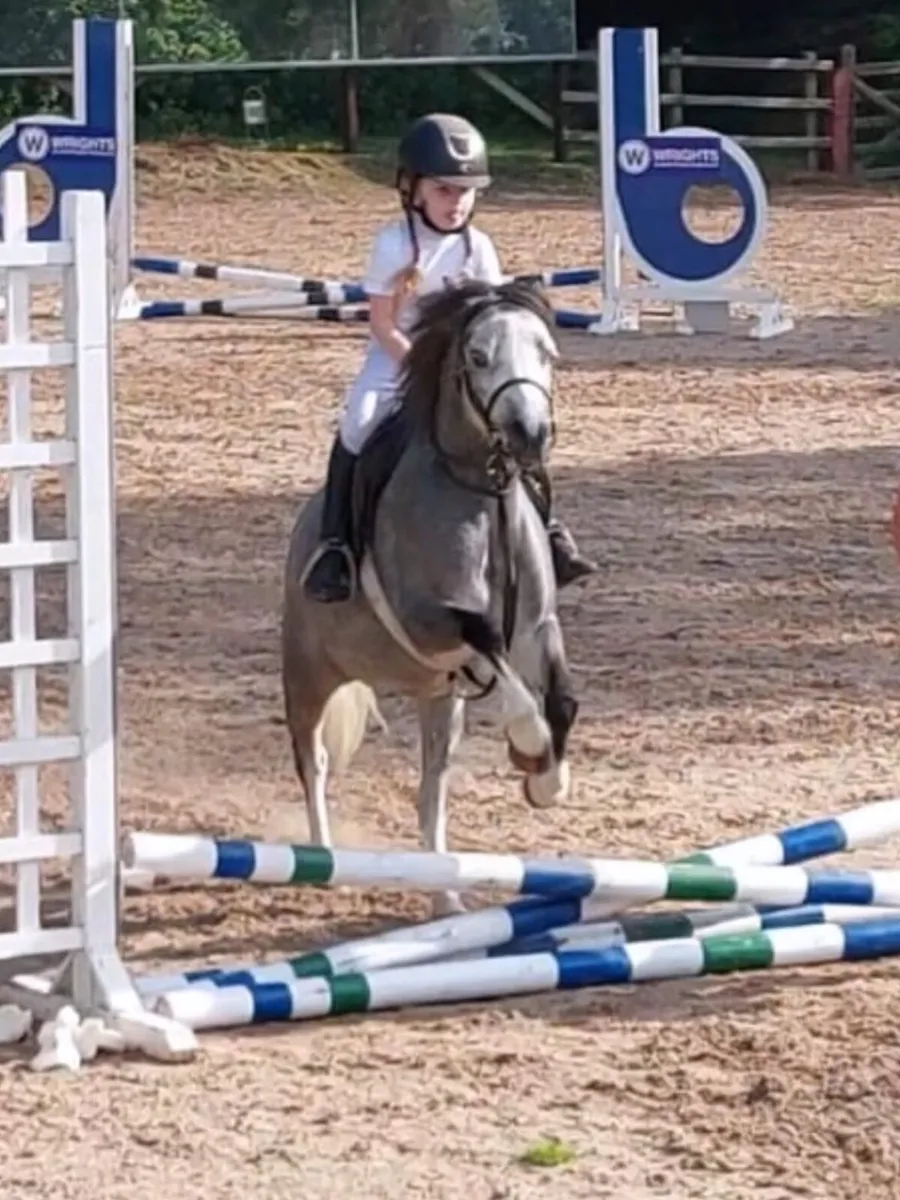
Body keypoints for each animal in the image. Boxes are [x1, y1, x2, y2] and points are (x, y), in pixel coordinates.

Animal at [280, 278, 580, 916]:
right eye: (478, 357)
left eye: (546, 352)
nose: (531, 435)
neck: (478, 492)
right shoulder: (428, 620)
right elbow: (490, 646)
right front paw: (529, 747)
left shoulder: (538, 627)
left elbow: (561, 698)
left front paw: (546, 779)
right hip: (308, 675)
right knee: (313, 762)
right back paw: (324, 860)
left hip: (439, 703)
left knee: (431, 789)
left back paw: (445, 896)